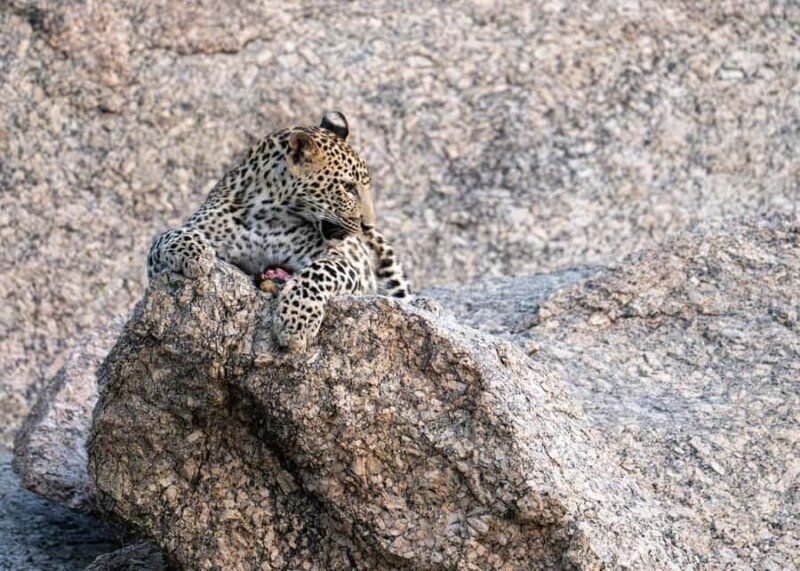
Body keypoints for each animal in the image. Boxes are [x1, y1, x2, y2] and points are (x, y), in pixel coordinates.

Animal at [147, 112, 410, 352]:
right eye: (347, 187)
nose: (368, 225)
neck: (270, 218)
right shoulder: (161, 264)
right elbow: (166, 237)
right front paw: (195, 253)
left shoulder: (346, 263)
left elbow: (318, 271)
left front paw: (296, 323)